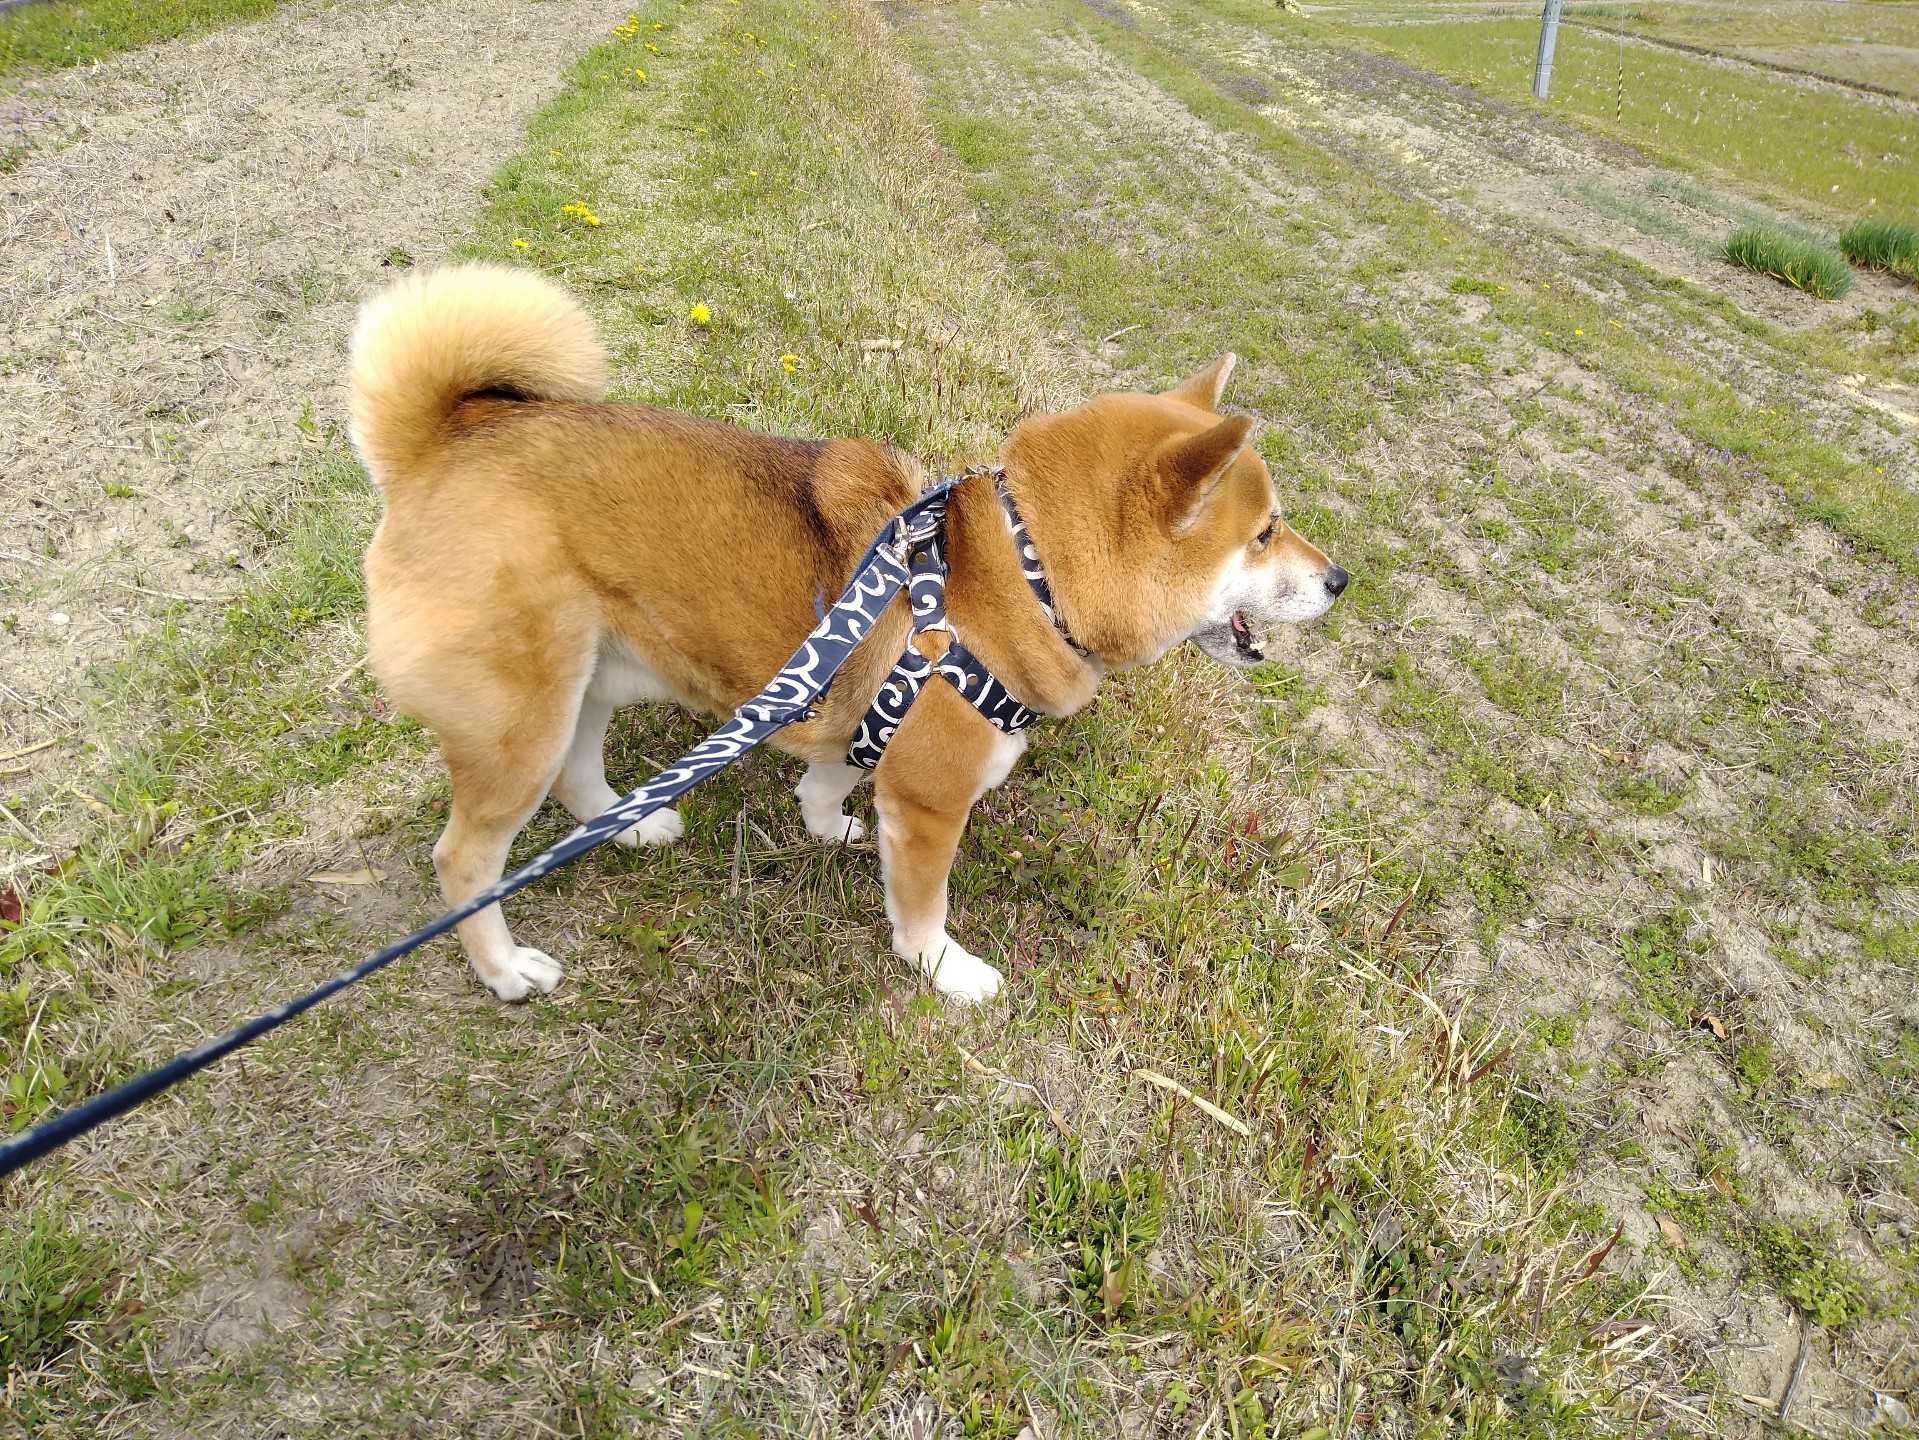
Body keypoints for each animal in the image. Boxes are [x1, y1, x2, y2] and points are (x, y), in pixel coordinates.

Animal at [349, 268, 1350, 1006]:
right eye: (1264, 533)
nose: (1340, 579)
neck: (1020, 572)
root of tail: (440, 445)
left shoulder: (868, 722)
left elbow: (834, 771)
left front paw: (824, 820)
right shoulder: (933, 804)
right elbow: (922, 910)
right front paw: (947, 971)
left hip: (593, 677)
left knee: (575, 771)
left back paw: (628, 825)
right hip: (520, 717)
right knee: (465, 859)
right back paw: (503, 969)